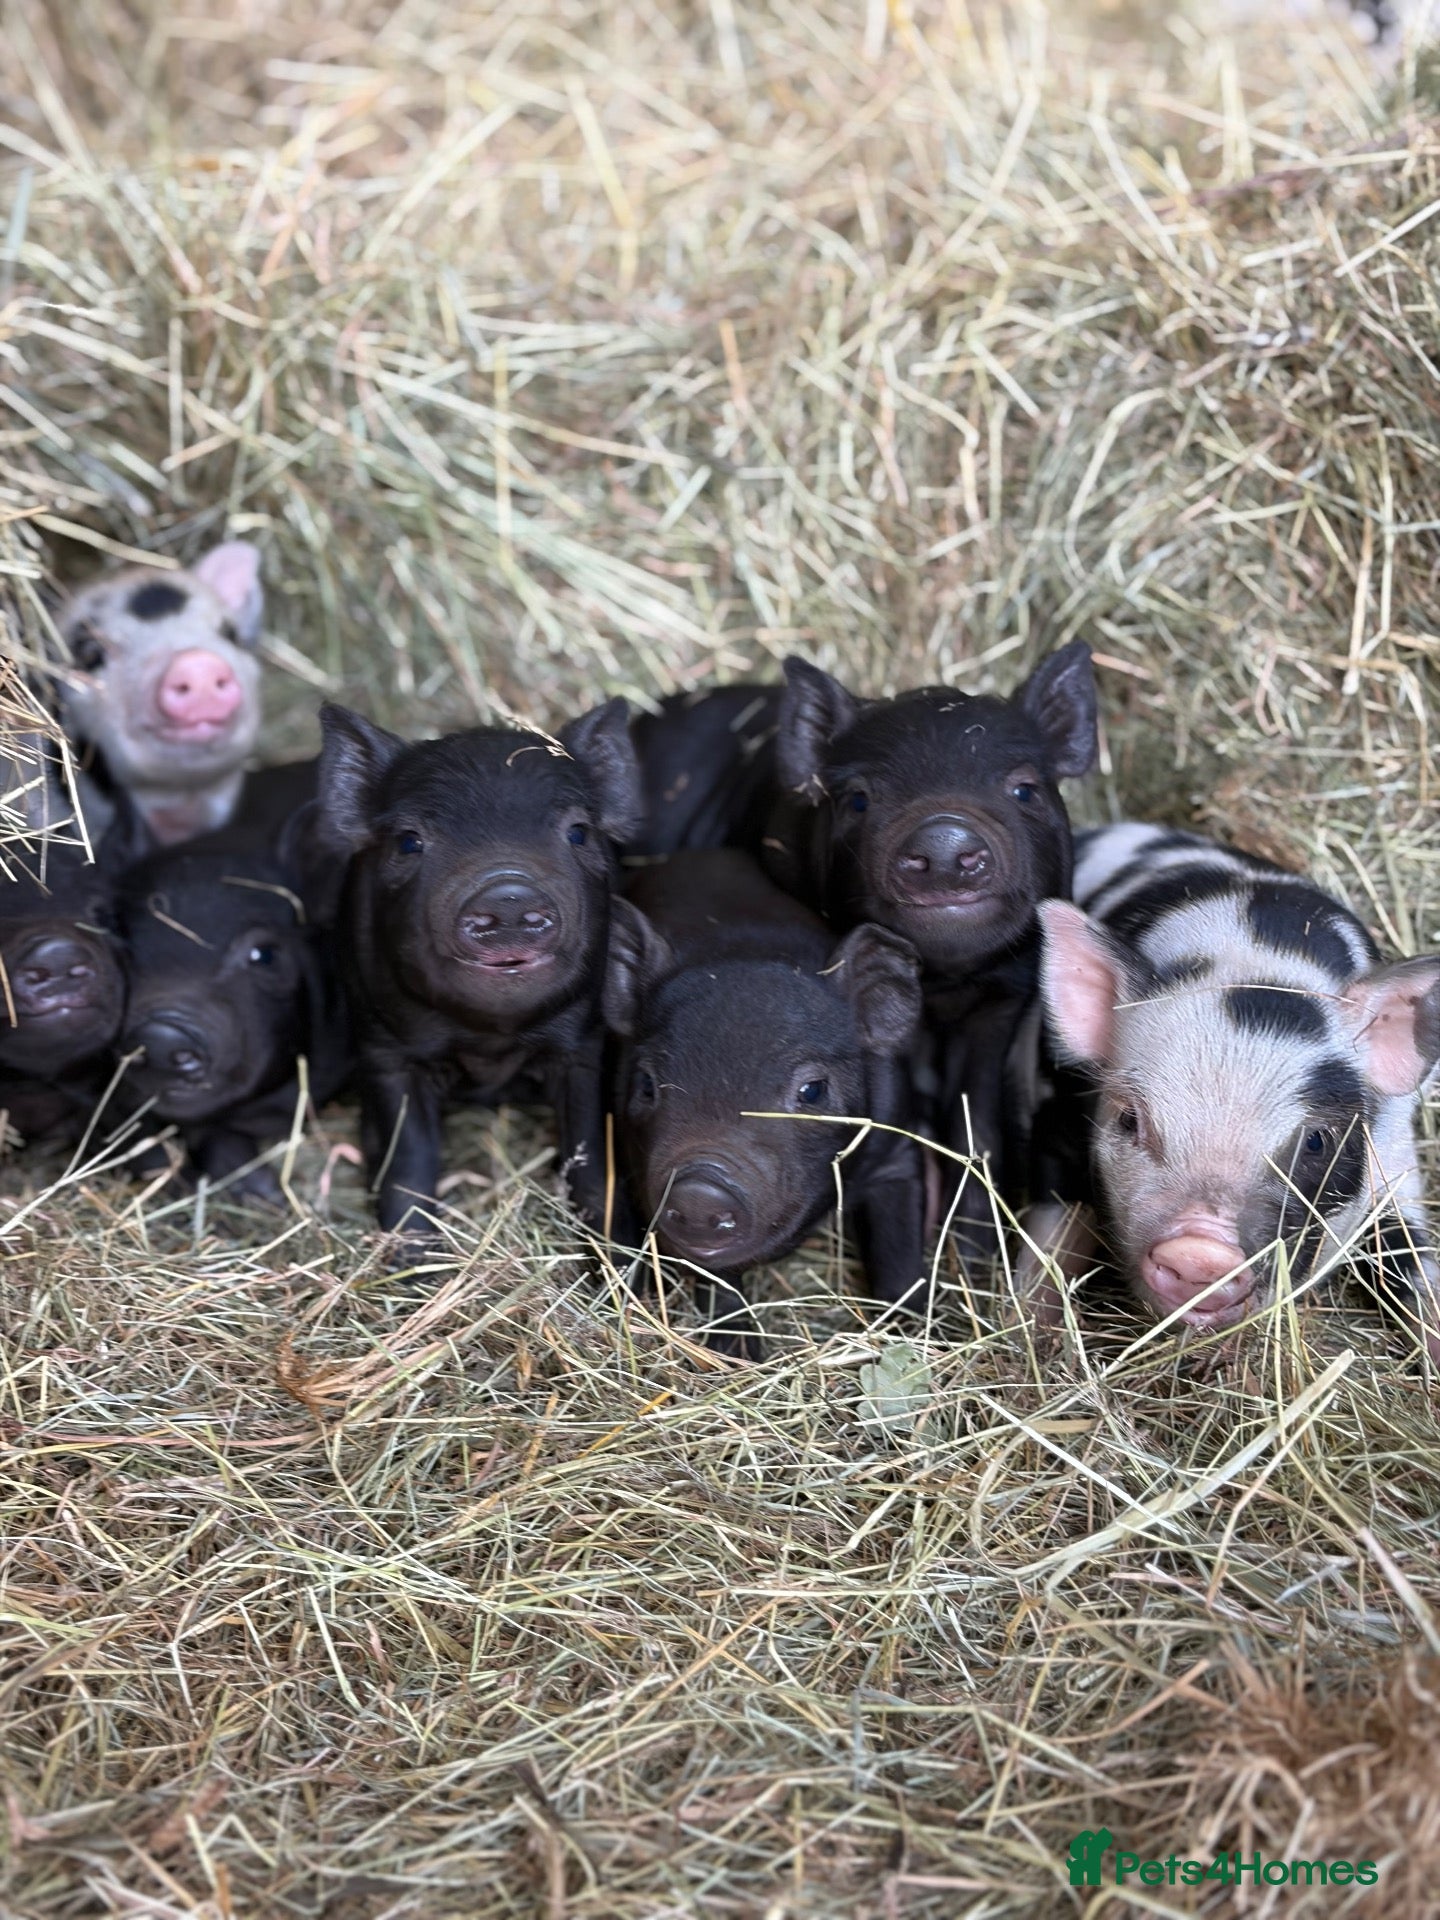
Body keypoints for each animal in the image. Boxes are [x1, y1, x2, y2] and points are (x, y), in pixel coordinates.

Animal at [317, 700, 643, 1237]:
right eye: (409, 842)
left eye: (578, 832)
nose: (508, 895)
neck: (490, 1044)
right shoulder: (385, 1051)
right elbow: (408, 1167)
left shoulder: (585, 1047)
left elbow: (593, 1160)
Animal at [603, 850, 926, 1357]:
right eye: (648, 1085)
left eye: (813, 1090)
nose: (699, 1190)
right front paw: (738, 1353)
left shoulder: (897, 1148)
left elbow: (900, 1250)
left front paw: (910, 1332)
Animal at [1036, 823, 1440, 1357]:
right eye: (1129, 1118)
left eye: (1317, 1141)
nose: (1200, 1252)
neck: (1262, 961)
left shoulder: (1396, 1160)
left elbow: (1415, 1262)